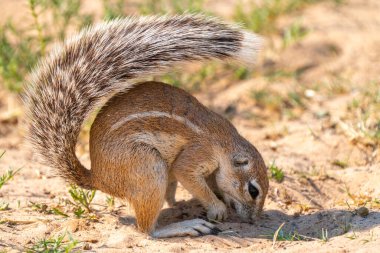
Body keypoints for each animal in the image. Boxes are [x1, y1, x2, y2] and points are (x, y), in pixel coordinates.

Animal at [23, 14, 268, 238]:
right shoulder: (198, 153)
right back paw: (185, 225)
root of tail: (98, 178)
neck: (225, 143)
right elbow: (187, 174)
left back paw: (179, 206)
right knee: (146, 230)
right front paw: (217, 208)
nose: (254, 221)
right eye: (253, 190)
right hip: (149, 168)